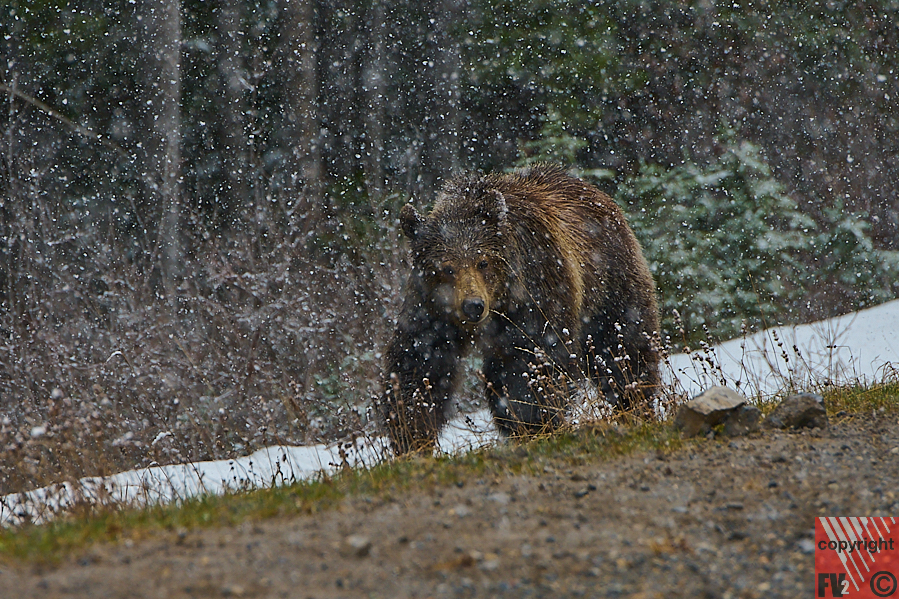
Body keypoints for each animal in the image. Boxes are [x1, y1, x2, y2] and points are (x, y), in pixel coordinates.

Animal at [380, 164, 660, 454]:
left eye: (482, 262)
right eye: (447, 268)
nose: (473, 306)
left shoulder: (537, 288)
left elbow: (535, 360)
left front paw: (533, 422)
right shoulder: (430, 310)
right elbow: (420, 365)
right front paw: (411, 435)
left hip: (609, 281)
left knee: (622, 347)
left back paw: (635, 404)